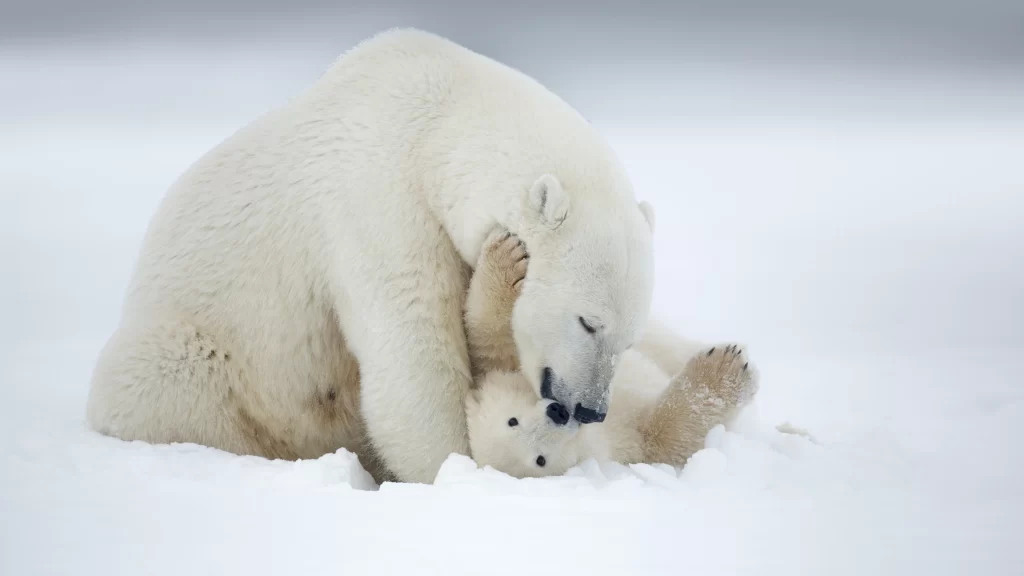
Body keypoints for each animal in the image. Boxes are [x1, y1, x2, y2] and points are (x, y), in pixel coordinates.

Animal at [85, 29, 657, 484]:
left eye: (628, 338)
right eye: (588, 322)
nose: (589, 409)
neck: (438, 122)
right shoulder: (379, 201)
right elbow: (413, 351)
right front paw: (454, 468)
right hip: (197, 350)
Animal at [463, 230, 759, 478]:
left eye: (511, 420)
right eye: (540, 460)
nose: (558, 413)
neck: (595, 431)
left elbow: (492, 338)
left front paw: (508, 255)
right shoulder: (625, 444)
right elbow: (666, 437)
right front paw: (724, 370)